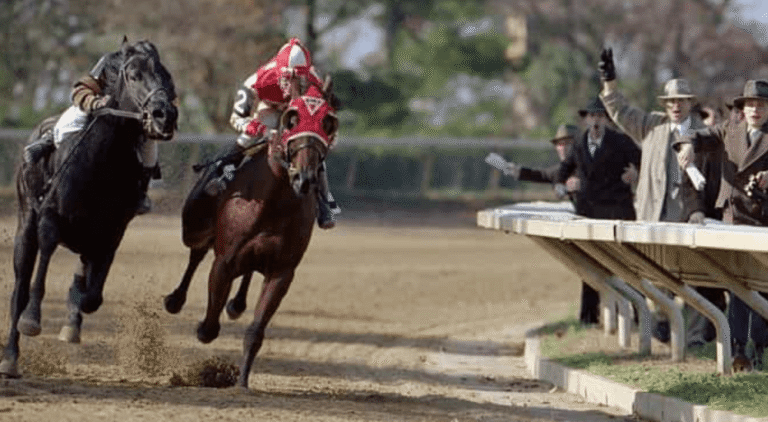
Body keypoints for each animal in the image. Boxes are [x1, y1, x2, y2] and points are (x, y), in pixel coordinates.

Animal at [0, 38, 178, 378]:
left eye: (166, 75)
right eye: (133, 75)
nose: (165, 115)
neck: (101, 165)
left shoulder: (112, 231)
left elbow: (91, 296)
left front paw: (74, 312)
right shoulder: (50, 217)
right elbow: (41, 267)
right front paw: (32, 319)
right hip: (25, 222)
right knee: (19, 289)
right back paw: (10, 357)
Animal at [164, 81, 339, 389]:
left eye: (328, 122)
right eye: (291, 119)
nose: (305, 178)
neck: (274, 199)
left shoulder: (282, 271)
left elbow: (255, 331)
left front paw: (242, 382)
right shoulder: (224, 261)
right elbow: (209, 327)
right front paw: (203, 332)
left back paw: (236, 304)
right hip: (195, 227)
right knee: (197, 254)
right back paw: (175, 300)